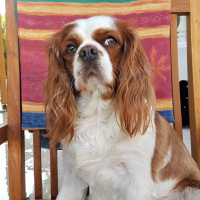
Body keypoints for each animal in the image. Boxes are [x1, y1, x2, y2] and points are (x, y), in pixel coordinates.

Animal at [43, 16, 200, 200]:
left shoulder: (137, 183)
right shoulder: (72, 179)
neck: (97, 113)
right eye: (70, 48)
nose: (87, 51)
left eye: (110, 41)